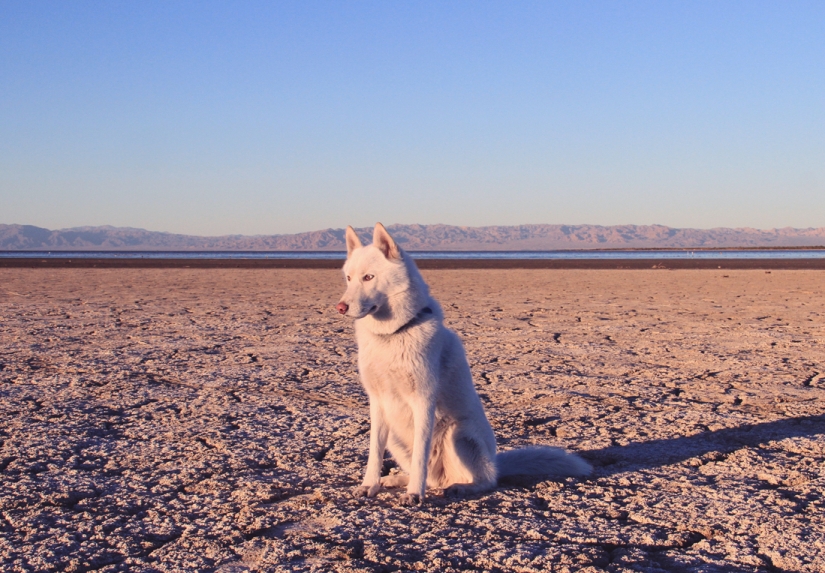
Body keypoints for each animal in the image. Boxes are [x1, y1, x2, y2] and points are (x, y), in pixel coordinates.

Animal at [336, 223, 591, 505]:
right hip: (397, 437)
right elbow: (374, 452)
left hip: (458, 433)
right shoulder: (378, 401)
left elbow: (420, 455)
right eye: (348, 278)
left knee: (485, 481)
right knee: (430, 476)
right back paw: (397, 479)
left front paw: (414, 493)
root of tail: (496, 463)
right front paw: (370, 485)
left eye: (369, 277)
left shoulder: (423, 399)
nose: (340, 307)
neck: (393, 335)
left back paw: (461, 487)